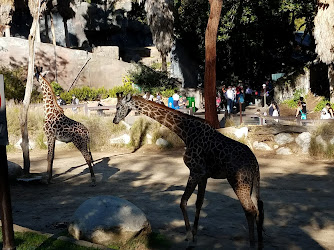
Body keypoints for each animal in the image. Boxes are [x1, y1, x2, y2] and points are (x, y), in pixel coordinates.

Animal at [113, 93, 264, 247]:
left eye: (118, 107)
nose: (114, 120)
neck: (186, 132)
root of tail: (255, 164)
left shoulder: (195, 171)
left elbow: (183, 202)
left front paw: (188, 235)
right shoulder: (203, 175)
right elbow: (198, 203)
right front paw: (195, 234)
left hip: (239, 181)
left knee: (250, 210)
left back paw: (252, 244)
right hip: (252, 183)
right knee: (259, 207)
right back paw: (259, 243)